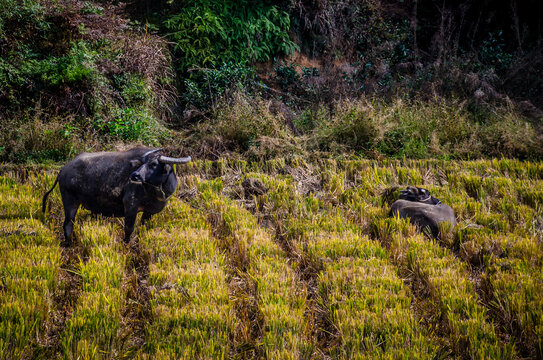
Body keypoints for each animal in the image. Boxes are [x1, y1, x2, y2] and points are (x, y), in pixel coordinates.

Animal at [42, 147, 191, 245]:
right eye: (142, 163)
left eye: (154, 164)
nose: (134, 175)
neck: (154, 191)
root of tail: (63, 170)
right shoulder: (131, 205)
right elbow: (129, 228)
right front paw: (126, 245)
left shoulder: (149, 212)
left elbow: (142, 228)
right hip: (70, 201)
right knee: (68, 225)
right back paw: (69, 245)